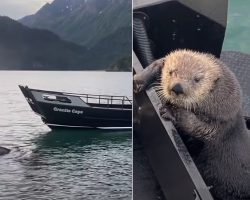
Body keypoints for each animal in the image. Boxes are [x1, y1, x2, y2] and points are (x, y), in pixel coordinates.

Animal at [134, 49, 250, 199]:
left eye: (197, 79)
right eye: (171, 72)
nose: (177, 88)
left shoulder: (222, 123)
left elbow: (200, 128)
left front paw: (170, 111)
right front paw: (140, 80)